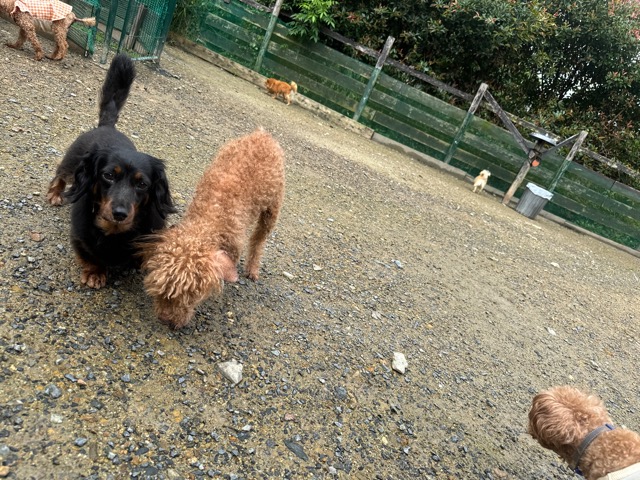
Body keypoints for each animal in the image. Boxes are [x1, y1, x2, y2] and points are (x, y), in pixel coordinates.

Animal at [46, 54, 175, 289]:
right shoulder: (79, 236)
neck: (116, 232)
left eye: (142, 184)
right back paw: (55, 194)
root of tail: (107, 126)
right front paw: (95, 272)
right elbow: (89, 255)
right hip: (72, 163)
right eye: (108, 176)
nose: (119, 214)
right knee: (60, 175)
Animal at [141, 128, 285, 329]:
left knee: (259, 238)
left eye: (191, 297)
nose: (166, 320)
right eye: (160, 290)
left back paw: (252, 269)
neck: (208, 220)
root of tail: (262, 134)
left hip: (272, 206)